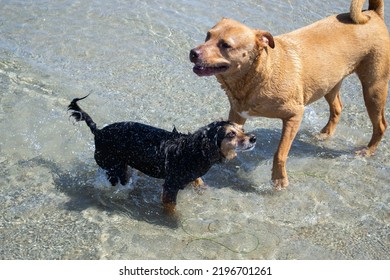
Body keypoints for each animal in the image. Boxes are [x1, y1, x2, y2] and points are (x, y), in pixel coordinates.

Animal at [68, 95, 256, 211]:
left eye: (242, 129)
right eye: (231, 134)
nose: (253, 138)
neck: (195, 150)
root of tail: (98, 132)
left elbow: (199, 181)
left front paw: (203, 189)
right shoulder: (170, 186)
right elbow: (171, 208)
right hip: (115, 167)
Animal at [190, 0, 390, 190]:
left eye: (226, 45)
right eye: (208, 35)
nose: (193, 52)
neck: (258, 74)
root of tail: (373, 13)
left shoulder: (294, 115)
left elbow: (280, 153)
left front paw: (279, 180)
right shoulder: (237, 114)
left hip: (373, 89)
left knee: (380, 124)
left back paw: (367, 151)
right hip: (329, 84)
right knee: (337, 108)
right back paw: (324, 135)